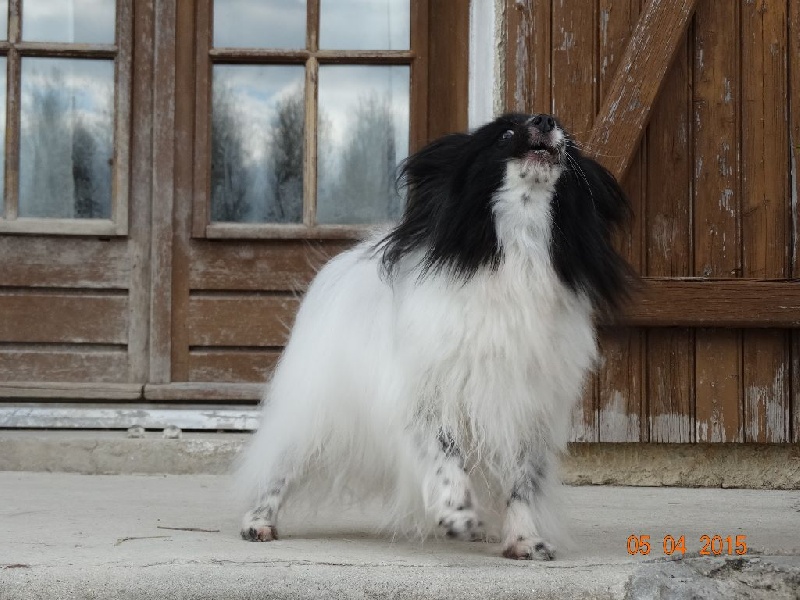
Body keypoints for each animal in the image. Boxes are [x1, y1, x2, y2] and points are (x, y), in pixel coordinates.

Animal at [236, 113, 632, 564]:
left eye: (566, 138)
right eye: (505, 134)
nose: (545, 119)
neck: (518, 247)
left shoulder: (526, 408)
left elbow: (522, 482)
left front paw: (524, 540)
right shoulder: (428, 396)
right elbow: (446, 457)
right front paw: (457, 514)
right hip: (314, 410)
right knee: (281, 465)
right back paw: (258, 522)